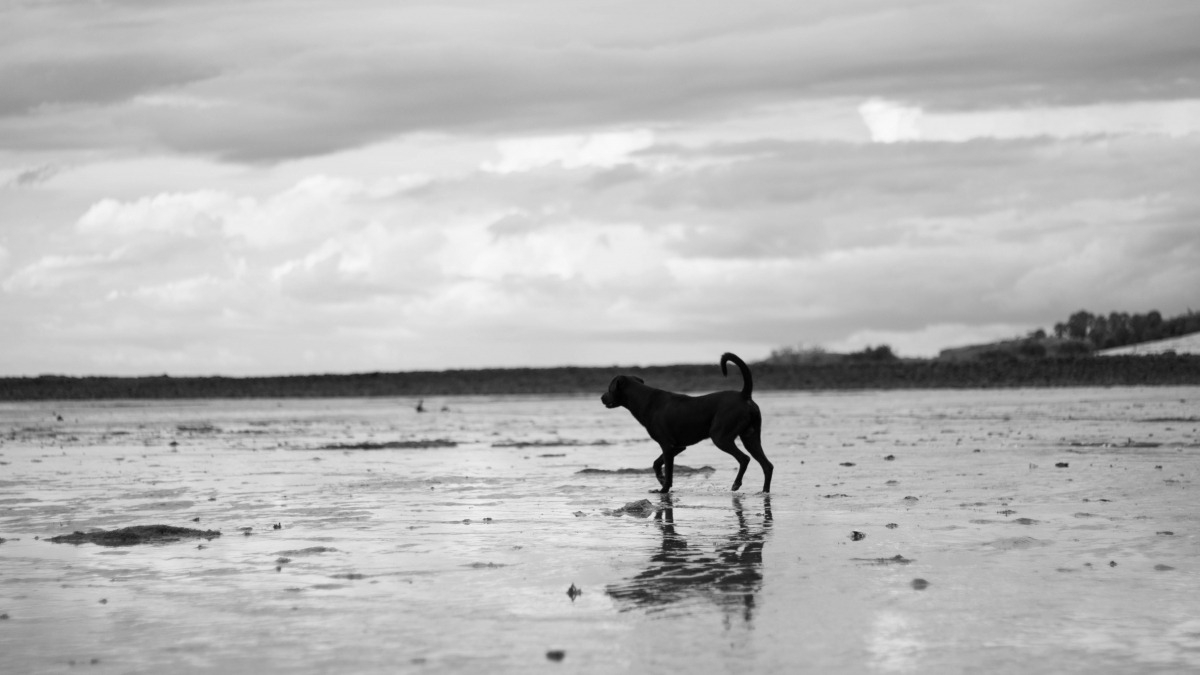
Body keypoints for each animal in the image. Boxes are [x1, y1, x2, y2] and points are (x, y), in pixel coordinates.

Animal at [600, 353, 777, 487]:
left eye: (609, 388)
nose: (601, 397)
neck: (645, 399)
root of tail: (744, 395)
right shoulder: (677, 446)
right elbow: (656, 463)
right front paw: (660, 479)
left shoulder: (667, 446)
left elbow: (669, 472)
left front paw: (664, 489)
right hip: (751, 437)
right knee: (767, 466)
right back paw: (764, 492)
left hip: (721, 437)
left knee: (744, 459)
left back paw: (736, 484)